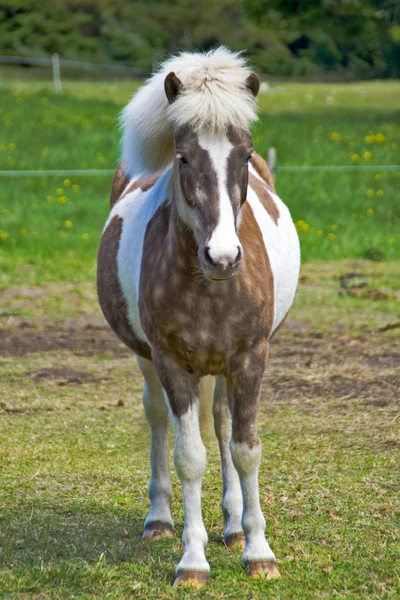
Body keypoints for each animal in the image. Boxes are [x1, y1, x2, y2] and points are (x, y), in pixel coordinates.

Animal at [97, 47, 300, 584]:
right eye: (183, 157)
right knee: (157, 419)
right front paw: (192, 561)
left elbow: (245, 449)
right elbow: (189, 456)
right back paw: (159, 521)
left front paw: (258, 551)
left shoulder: (250, 359)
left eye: (245, 156)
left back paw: (232, 526)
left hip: (226, 368)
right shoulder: (171, 362)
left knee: (224, 424)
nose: (223, 257)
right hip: (149, 360)